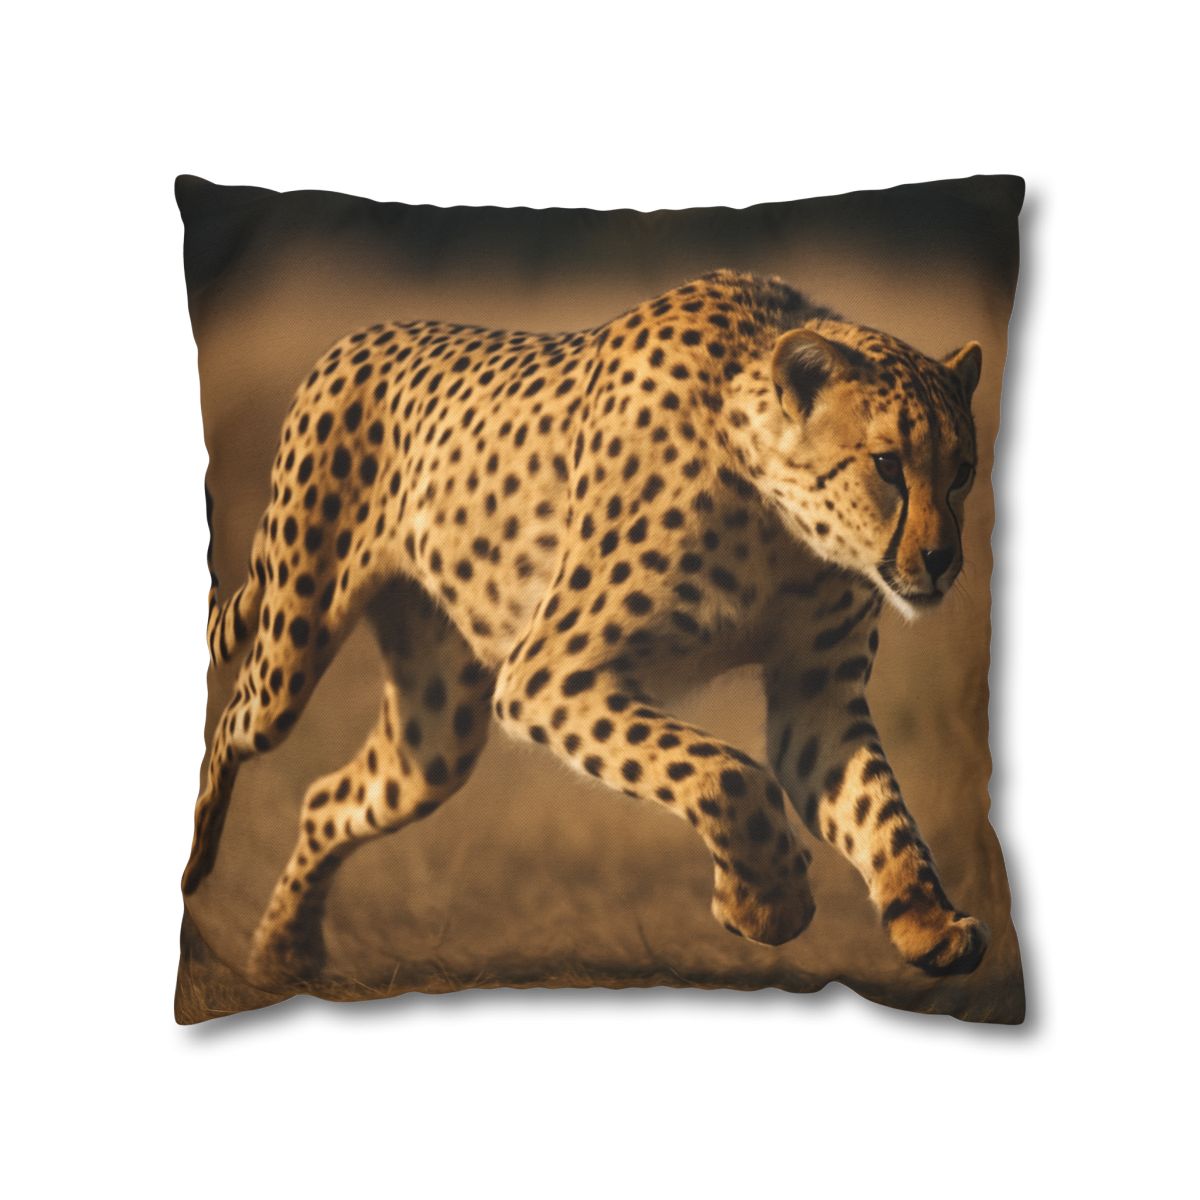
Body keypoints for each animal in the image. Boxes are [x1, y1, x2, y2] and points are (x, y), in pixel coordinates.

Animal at [185, 268, 989, 992]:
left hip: (435, 733)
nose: (940, 561)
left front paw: (926, 921)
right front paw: (767, 902)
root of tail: (359, 336)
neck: (780, 521)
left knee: (331, 797)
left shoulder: (815, 697)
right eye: (887, 465)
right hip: (294, 640)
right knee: (230, 726)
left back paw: (284, 955)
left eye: (962, 473)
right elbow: (727, 774)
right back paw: (198, 868)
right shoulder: (549, 673)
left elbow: (878, 808)